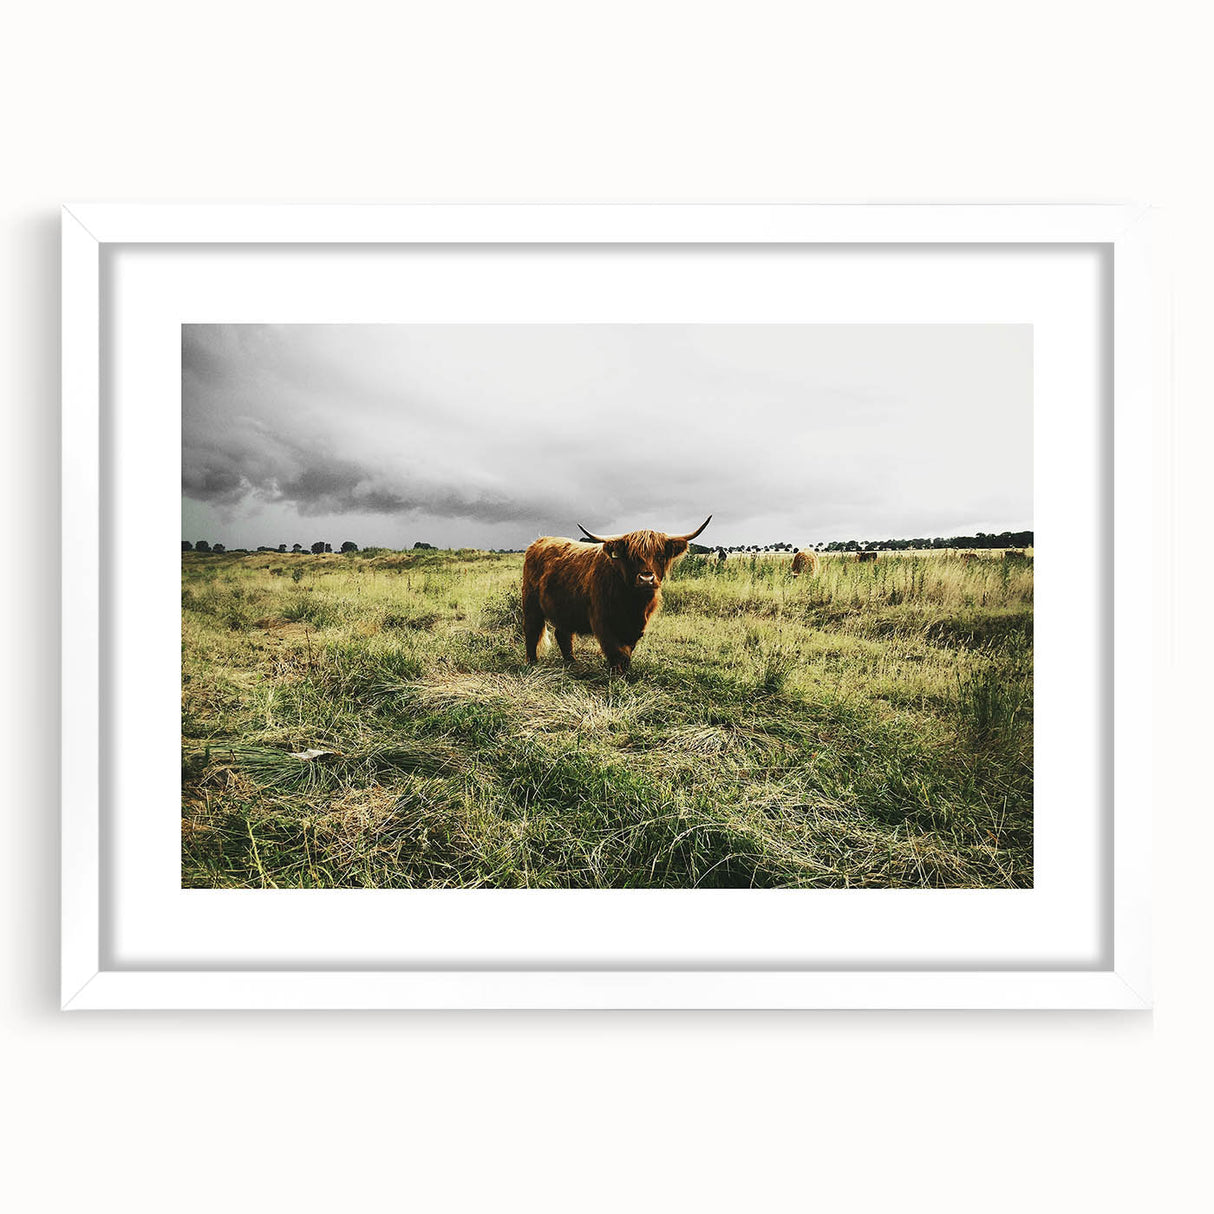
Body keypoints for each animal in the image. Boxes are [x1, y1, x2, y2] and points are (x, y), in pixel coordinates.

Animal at [522, 516, 712, 673]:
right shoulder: (603, 621)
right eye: (632, 556)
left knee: (563, 634)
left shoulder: (636, 627)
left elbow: (627, 651)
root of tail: (539, 541)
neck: (633, 604)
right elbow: (616, 651)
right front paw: (617, 675)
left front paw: (625, 672)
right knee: (532, 630)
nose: (646, 579)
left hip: (565, 608)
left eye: (660, 555)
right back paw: (532, 663)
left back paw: (572, 663)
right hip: (531, 603)